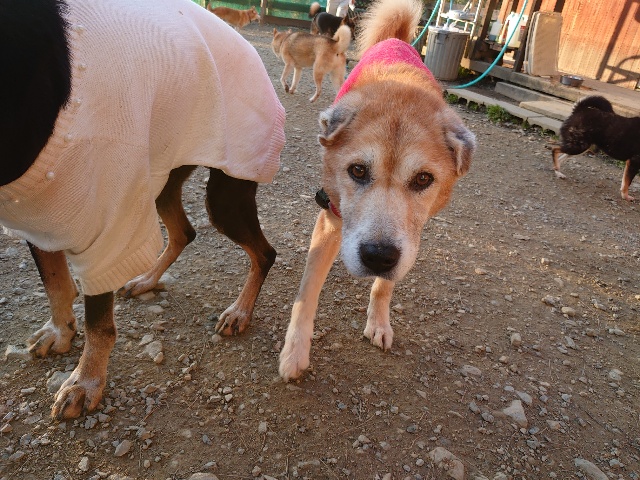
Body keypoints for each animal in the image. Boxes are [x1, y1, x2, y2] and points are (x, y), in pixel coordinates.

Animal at [1, 0, 285, 419]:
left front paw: (86, 382)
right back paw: (148, 279)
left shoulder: (106, 228)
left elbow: (98, 323)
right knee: (184, 231)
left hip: (226, 192)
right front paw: (60, 332)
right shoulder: (35, 214)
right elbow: (55, 284)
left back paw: (239, 312)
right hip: (162, 176)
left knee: (264, 253)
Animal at [278, 0, 475, 381]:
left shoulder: (411, 237)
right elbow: (306, 294)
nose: (378, 257)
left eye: (423, 179)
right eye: (357, 171)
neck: (399, 92)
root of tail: (395, 40)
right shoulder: (330, 220)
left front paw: (379, 323)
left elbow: (385, 286)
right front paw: (294, 352)